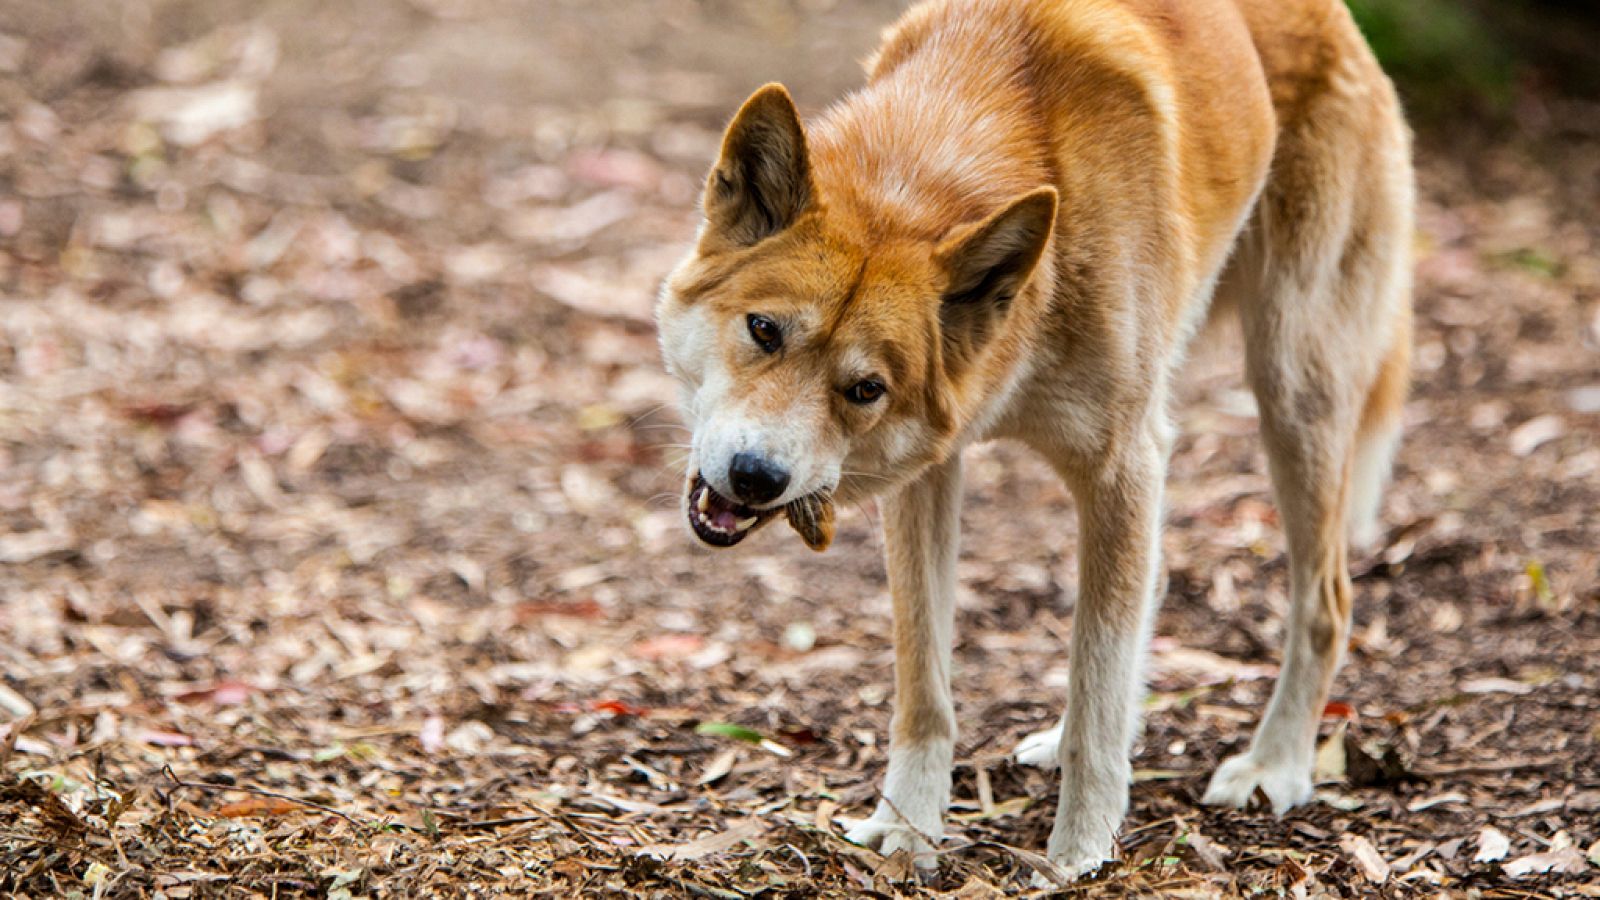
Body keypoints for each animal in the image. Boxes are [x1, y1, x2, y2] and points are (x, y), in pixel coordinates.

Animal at [656, 0, 1408, 877]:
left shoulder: (1120, 467)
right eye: (765, 330)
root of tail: (1339, 22)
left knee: (1324, 602)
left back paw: (1275, 765)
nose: (755, 476)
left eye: (865, 389)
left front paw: (1081, 848)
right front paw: (909, 829)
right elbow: (926, 687)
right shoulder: (930, 479)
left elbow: (1095, 679)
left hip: (1292, 394)